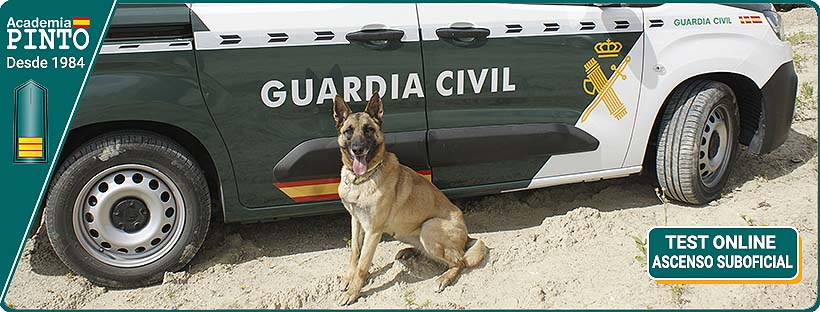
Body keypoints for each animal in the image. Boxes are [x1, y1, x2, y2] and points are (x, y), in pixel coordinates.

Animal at [332, 92, 486, 304]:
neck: (361, 179)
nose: (357, 149)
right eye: (348, 131)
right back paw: (408, 251)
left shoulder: (373, 231)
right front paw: (349, 279)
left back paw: (444, 278)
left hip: (429, 228)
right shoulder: (356, 221)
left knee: (460, 261)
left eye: (368, 129)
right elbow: (355, 253)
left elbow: (363, 264)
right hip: (405, 232)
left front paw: (353, 292)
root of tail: (466, 237)